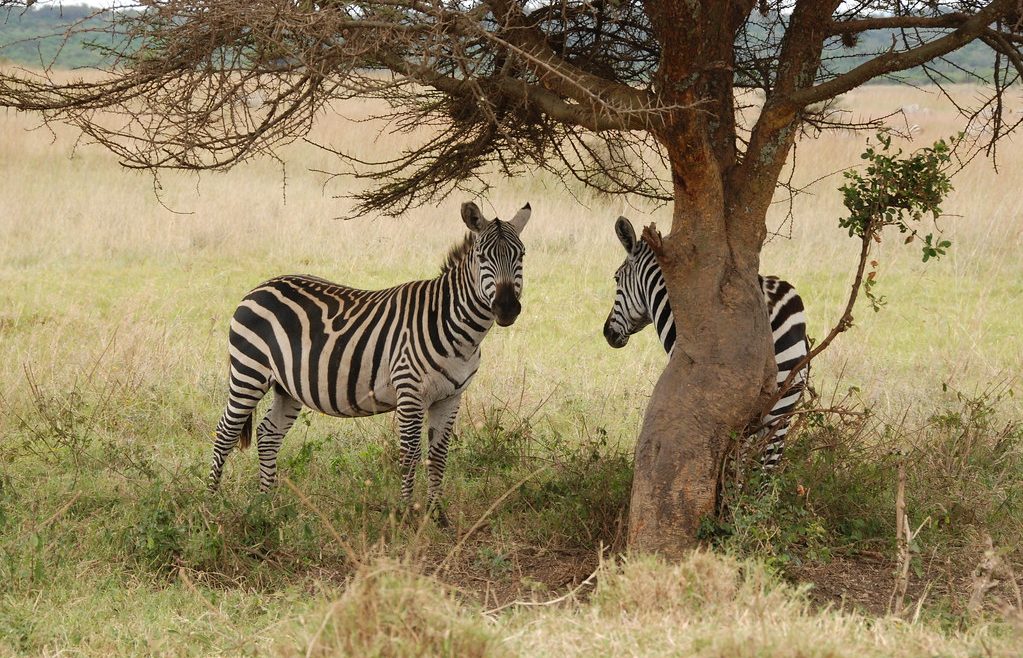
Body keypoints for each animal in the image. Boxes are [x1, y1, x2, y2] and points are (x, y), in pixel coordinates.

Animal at [207, 201, 531, 522]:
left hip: (286, 386)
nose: (507, 308)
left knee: (268, 434)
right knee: (225, 432)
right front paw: (407, 515)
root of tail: (260, 286)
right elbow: (410, 454)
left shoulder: (451, 396)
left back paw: (268, 504)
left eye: (521, 255)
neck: (455, 328)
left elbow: (438, 457)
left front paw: (439, 517)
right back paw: (211, 502)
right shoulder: (410, 392)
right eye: (482, 257)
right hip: (249, 372)